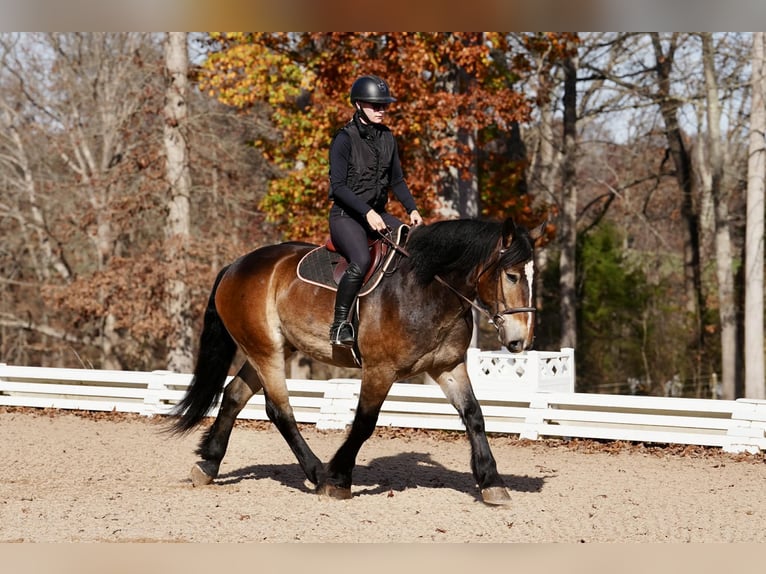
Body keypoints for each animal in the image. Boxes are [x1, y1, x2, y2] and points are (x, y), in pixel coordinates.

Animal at [168, 217, 546, 505]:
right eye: (512, 276)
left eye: (532, 276)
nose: (521, 341)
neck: (427, 288)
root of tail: (236, 265)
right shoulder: (380, 370)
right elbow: (364, 423)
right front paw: (337, 479)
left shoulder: (447, 367)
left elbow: (474, 416)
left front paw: (492, 482)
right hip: (266, 351)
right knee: (280, 411)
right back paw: (317, 472)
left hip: (273, 348)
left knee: (234, 395)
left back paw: (208, 464)